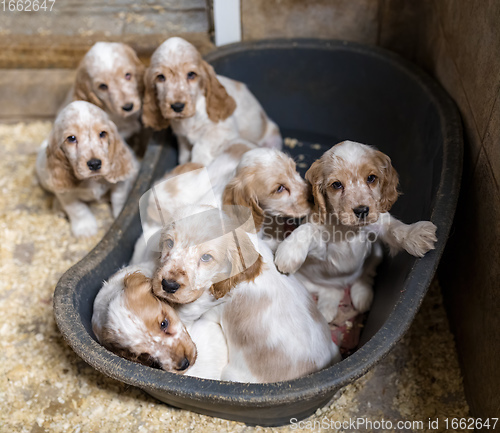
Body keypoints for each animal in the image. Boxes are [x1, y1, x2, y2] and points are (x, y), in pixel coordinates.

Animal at [36, 99, 140, 236]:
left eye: (102, 133)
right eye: (71, 138)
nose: (95, 164)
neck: (92, 180)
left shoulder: (120, 183)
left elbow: (119, 198)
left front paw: (120, 215)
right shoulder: (66, 194)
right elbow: (77, 209)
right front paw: (85, 228)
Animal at [274, 140, 438, 322]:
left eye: (371, 178)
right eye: (337, 185)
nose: (361, 211)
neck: (348, 229)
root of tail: (342, 284)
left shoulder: (379, 224)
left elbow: (396, 229)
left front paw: (415, 235)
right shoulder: (322, 247)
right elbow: (308, 229)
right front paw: (289, 252)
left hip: (376, 254)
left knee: (365, 276)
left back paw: (362, 297)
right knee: (331, 291)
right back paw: (327, 310)